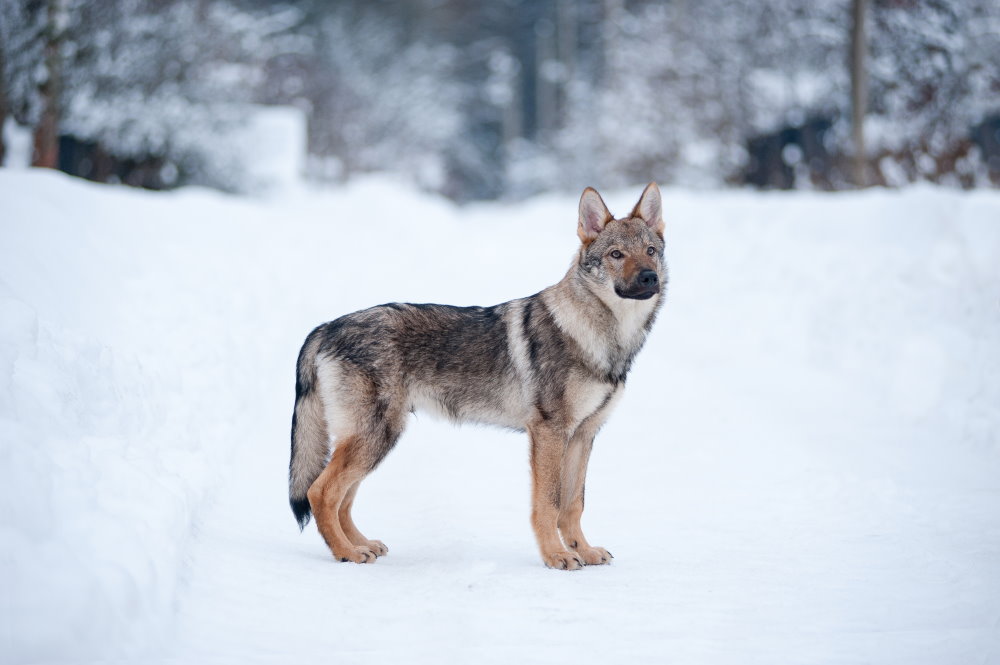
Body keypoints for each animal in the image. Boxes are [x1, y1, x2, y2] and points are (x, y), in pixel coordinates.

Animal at [286, 184, 668, 568]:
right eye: (616, 254)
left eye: (650, 251)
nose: (650, 277)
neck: (602, 338)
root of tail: (327, 326)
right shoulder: (549, 433)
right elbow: (548, 504)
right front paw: (556, 556)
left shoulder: (583, 435)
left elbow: (574, 504)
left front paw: (584, 551)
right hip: (376, 436)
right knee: (321, 492)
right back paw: (346, 553)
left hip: (375, 440)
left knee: (343, 499)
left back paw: (361, 546)